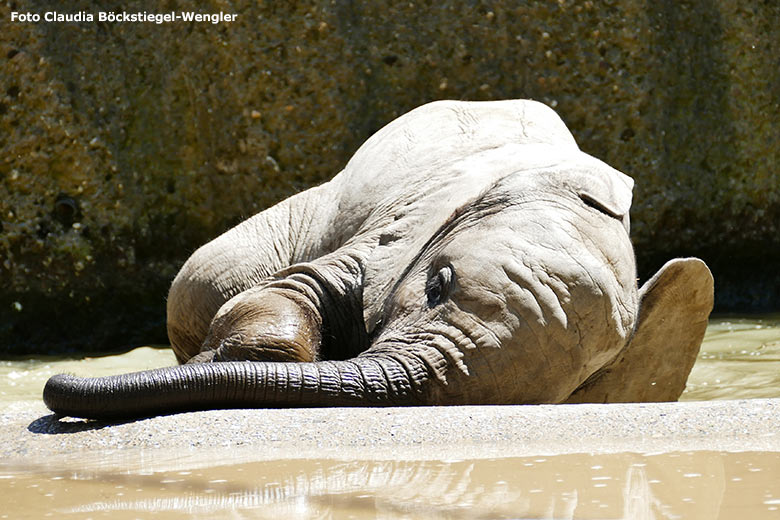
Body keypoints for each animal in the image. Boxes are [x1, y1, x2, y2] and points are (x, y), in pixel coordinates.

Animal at [42, 99, 712, 420]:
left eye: (582, 379)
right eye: (437, 285)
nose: (58, 385)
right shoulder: (401, 228)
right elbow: (302, 285)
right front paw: (227, 361)